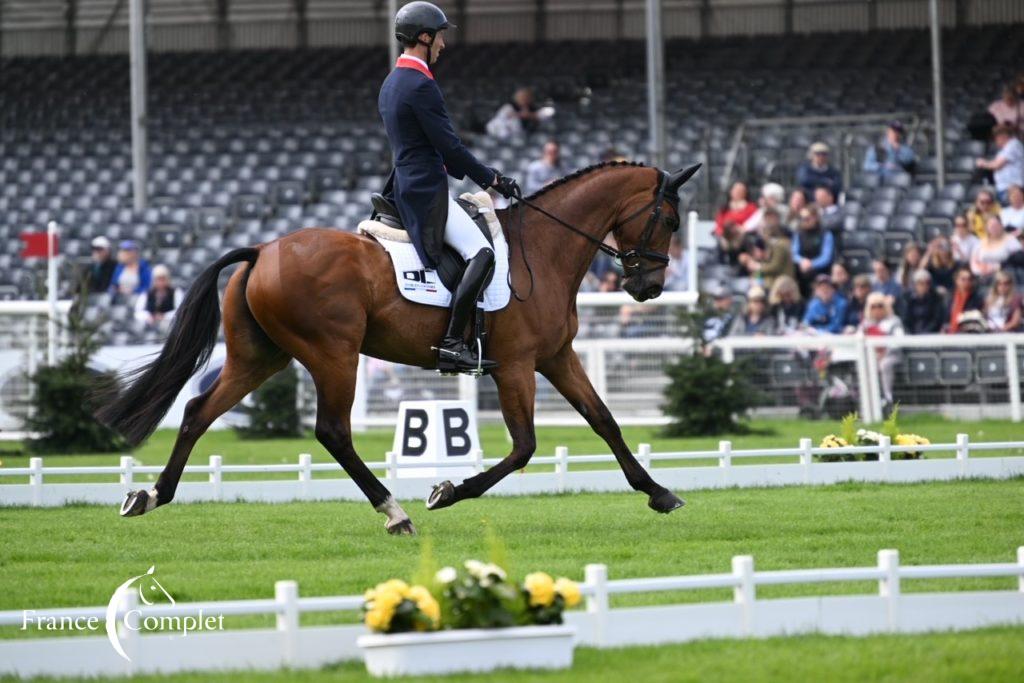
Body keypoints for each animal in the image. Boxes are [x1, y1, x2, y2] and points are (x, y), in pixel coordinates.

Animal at [99, 160, 700, 532]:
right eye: (670, 219)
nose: (648, 288)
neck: (543, 249)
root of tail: (262, 250)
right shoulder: (515, 365)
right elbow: (524, 446)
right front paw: (448, 490)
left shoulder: (556, 357)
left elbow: (604, 421)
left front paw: (658, 492)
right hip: (332, 355)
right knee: (333, 431)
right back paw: (395, 511)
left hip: (260, 356)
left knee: (199, 411)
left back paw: (151, 495)